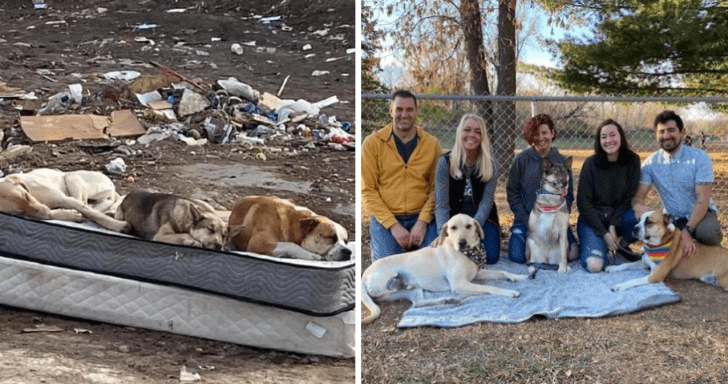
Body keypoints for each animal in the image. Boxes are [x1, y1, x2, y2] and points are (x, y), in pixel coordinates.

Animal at [0, 167, 128, 232]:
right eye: (19, 213)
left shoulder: (66, 199)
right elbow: (49, 214)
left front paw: (118, 226)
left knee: (96, 202)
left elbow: (93, 214)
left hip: (71, 177)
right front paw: (69, 214)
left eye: (26, 196)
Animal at [362, 214, 528, 326]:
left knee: (418, 303)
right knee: (392, 287)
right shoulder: (459, 284)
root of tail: (364, 276)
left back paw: (447, 300)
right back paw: (400, 282)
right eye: (453, 228)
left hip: (413, 291)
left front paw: (520, 276)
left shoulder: (478, 274)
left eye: (469, 226)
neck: (466, 253)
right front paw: (509, 292)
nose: (462, 242)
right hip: (387, 276)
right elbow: (490, 288)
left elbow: (503, 272)